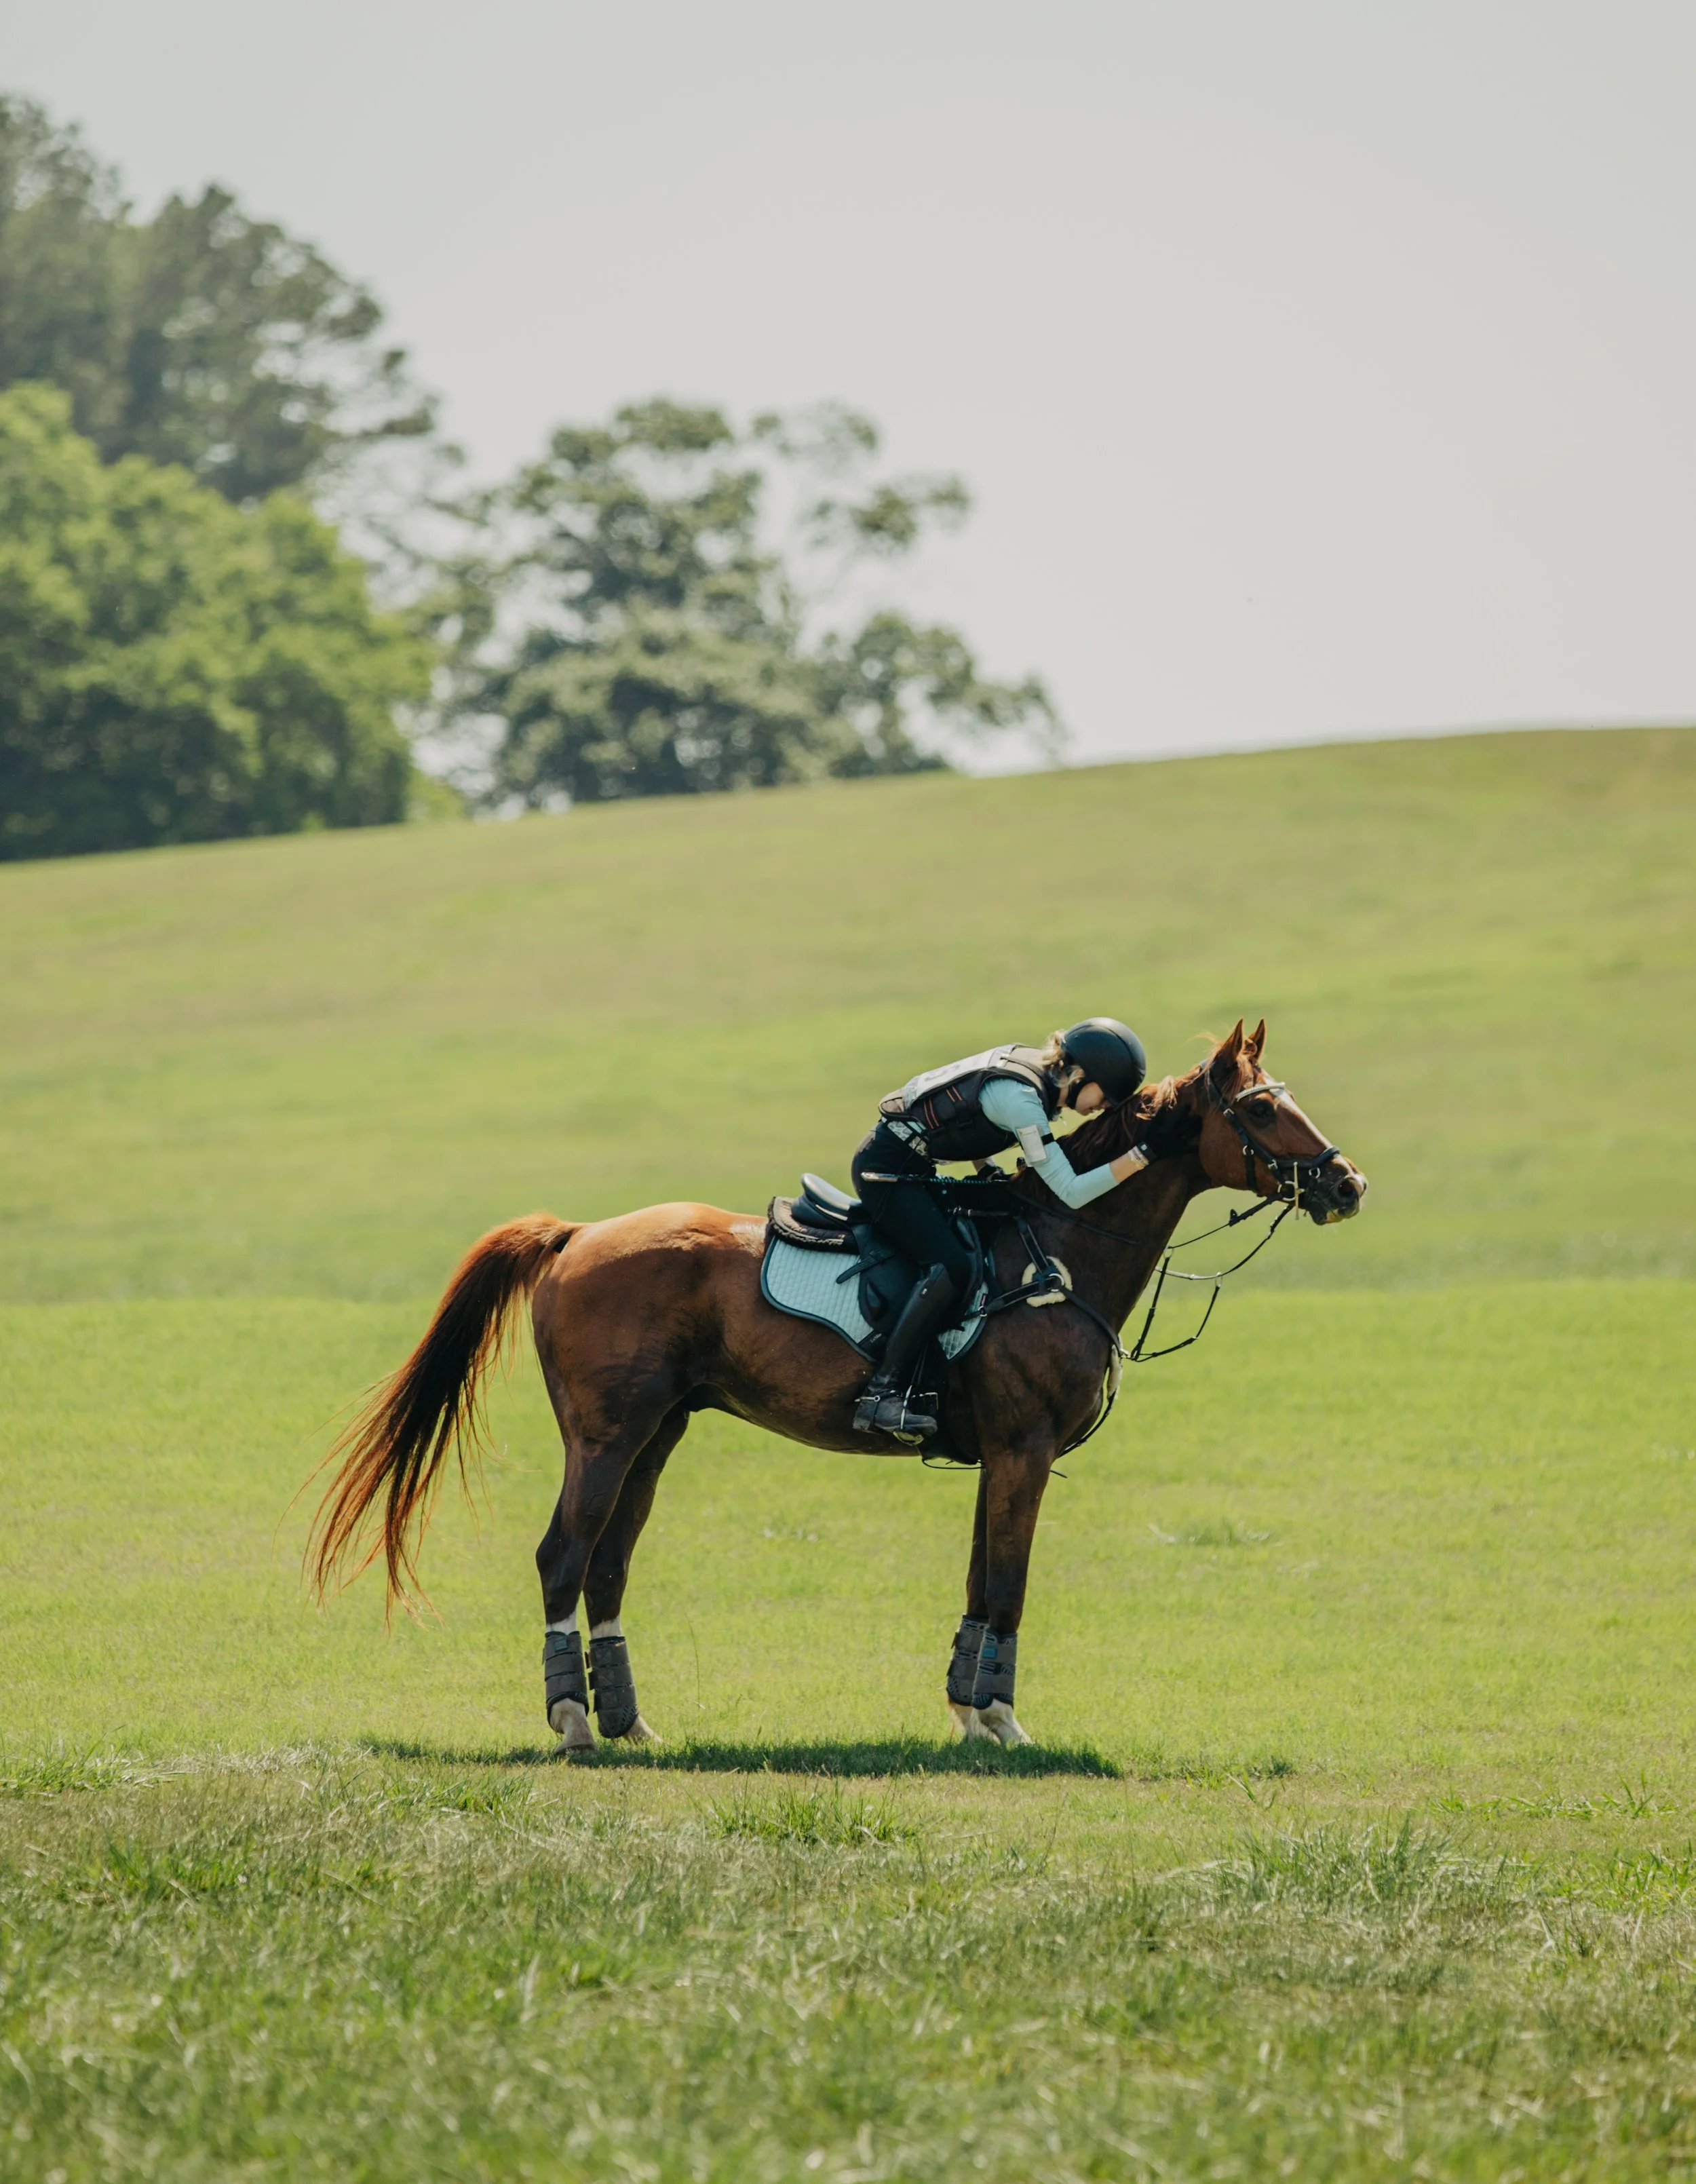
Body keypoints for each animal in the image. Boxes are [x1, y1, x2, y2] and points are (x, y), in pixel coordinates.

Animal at [309, 1019, 1367, 1750]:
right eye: (1261, 1109)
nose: (1348, 1183)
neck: (1059, 1251)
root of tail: (576, 1235)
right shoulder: (1022, 1450)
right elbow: (1010, 1586)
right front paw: (1006, 1724)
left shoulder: (998, 1458)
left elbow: (980, 1580)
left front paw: (967, 1716)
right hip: (603, 1437)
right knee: (563, 1556)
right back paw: (572, 1721)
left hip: (657, 1434)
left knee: (608, 1565)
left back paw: (630, 1724)